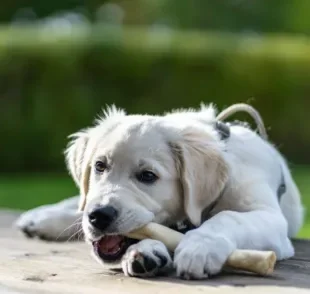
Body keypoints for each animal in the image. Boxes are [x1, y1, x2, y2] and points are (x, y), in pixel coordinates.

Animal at [15, 104, 304, 280]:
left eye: (147, 176)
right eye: (99, 166)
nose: (99, 216)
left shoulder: (269, 217)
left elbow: (229, 217)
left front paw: (200, 247)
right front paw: (148, 251)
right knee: (79, 205)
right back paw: (41, 218)